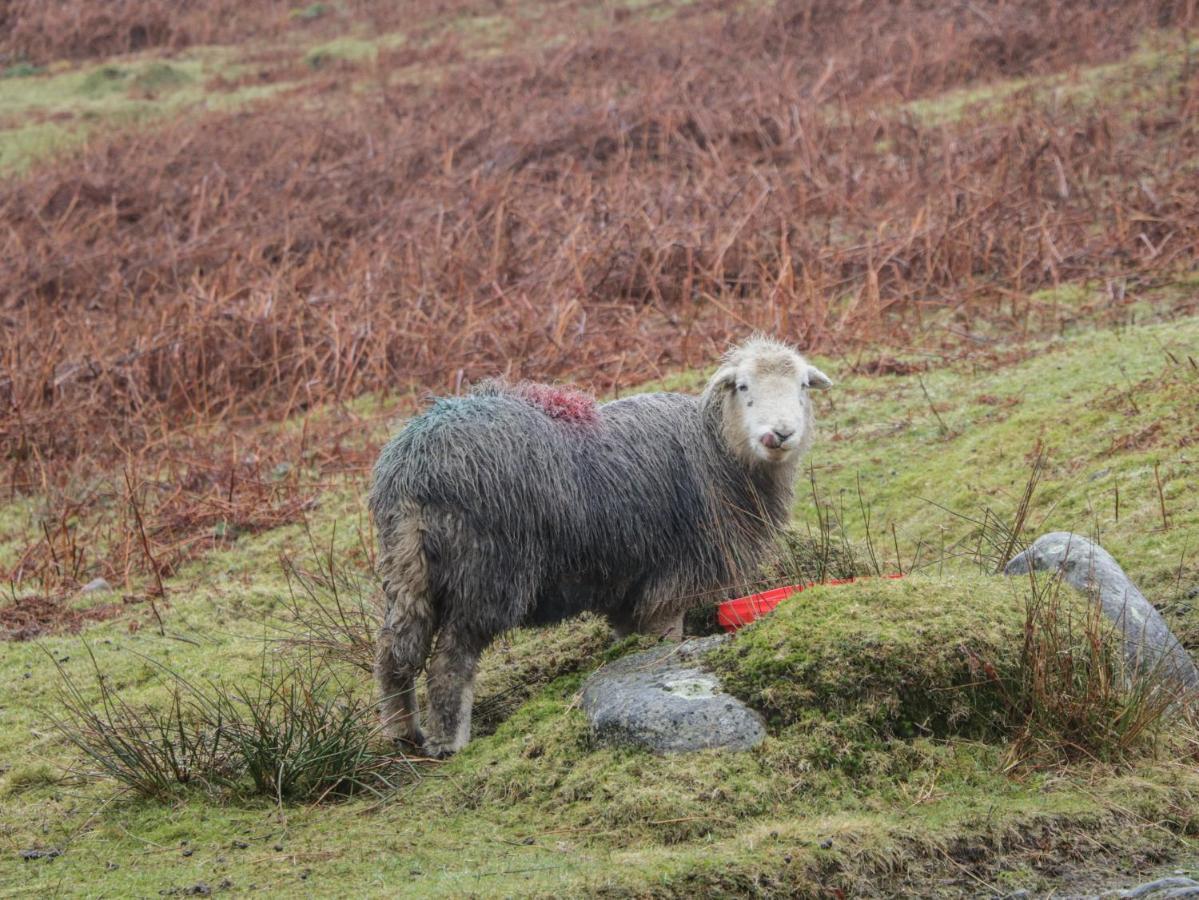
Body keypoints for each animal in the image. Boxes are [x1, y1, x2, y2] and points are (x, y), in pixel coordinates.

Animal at [369, 335, 829, 757]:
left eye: (803, 386)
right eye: (743, 386)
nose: (780, 434)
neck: (717, 450)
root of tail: (416, 465)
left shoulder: (628, 586)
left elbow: (629, 640)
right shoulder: (672, 579)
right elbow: (665, 640)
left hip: (406, 566)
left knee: (393, 651)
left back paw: (401, 733)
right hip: (487, 571)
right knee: (451, 662)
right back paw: (449, 743)